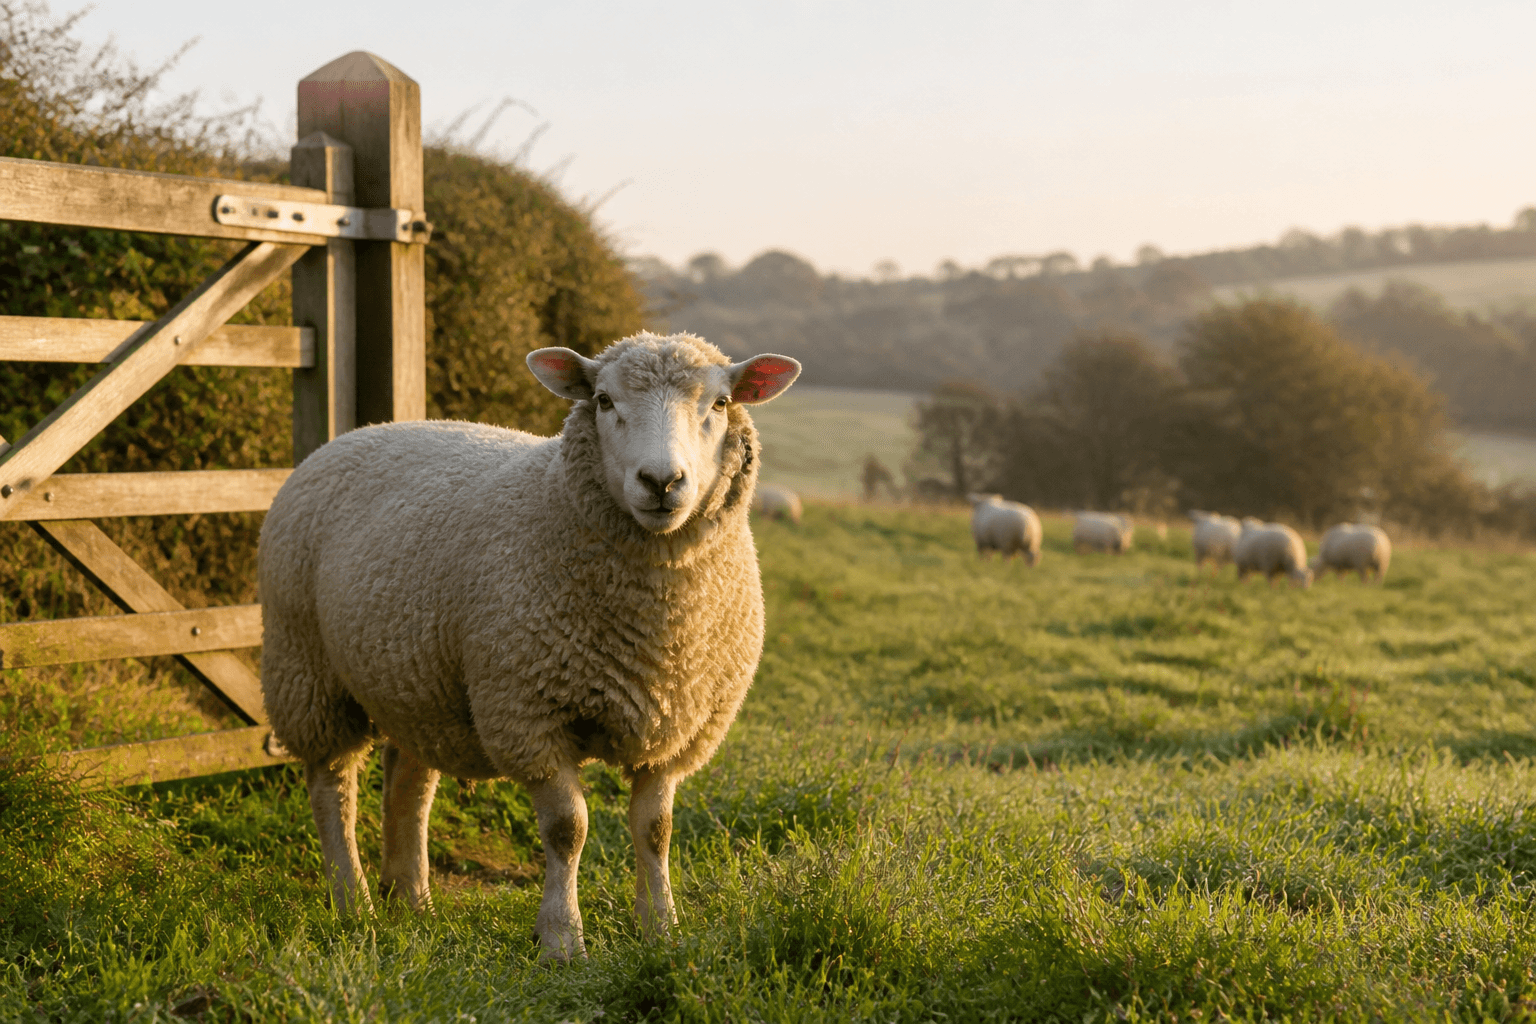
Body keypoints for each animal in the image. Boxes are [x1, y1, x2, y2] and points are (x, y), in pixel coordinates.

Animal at [258, 331, 800, 961]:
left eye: (719, 403)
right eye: (603, 400)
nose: (661, 483)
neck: (656, 625)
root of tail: (356, 433)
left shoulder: (677, 726)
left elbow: (656, 830)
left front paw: (661, 929)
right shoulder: (529, 714)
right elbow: (568, 829)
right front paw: (562, 939)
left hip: (418, 682)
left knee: (410, 782)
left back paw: (411, 897)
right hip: (307, 668)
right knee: (332, 787)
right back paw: (354, 900)